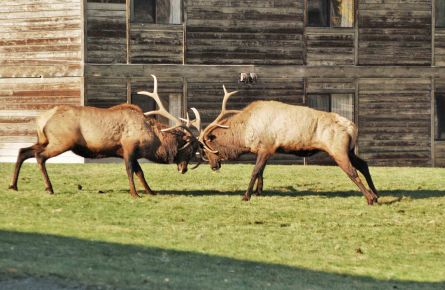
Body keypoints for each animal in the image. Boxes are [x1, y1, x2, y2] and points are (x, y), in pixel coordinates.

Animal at [9, 75, 200, 198]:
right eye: (189, 149)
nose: (183, 169)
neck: (153, 140)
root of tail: (41, 120)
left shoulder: (128, 152)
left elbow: (140, 172)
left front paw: (151, 191)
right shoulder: (129, 147)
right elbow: (130, 170)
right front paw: (135, 194)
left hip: (44, 140)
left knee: (23, 151)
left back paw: (13, 185)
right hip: (61, 142)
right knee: (39, 156)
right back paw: (49, 188)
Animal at [198, 85, 378, 204]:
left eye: (208, 149)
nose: (213, 166)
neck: (245, 135)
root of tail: (352, 127)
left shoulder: (267, 147)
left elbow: (255, 171)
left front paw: (246, 195)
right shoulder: (265, 150)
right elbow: (261, 172)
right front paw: (258, 192)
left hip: (337, 149)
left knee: (352, 171)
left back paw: (370, 198)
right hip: (350, 150)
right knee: (363, 164)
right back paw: (376, 194)